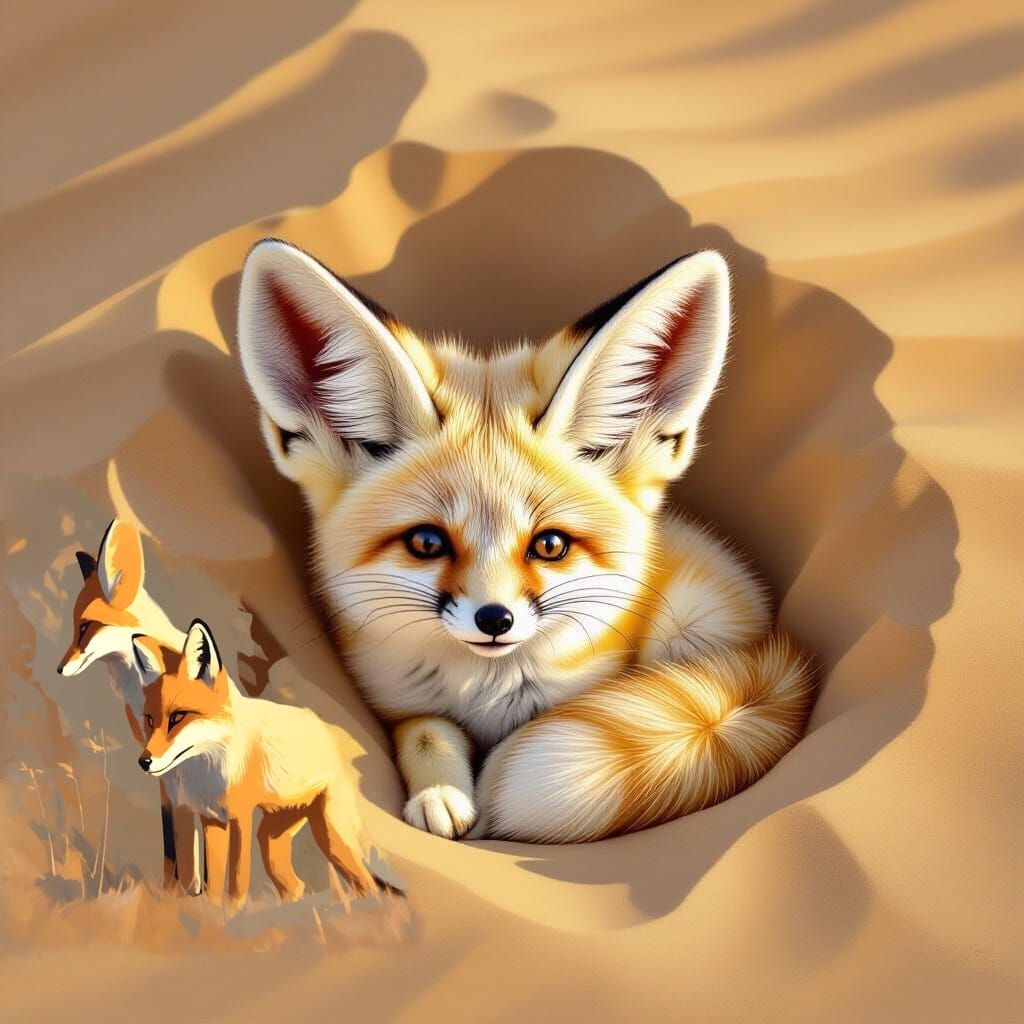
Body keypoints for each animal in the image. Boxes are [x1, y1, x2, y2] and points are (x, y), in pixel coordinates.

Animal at [57, 517, 203, 891]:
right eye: (74, 627)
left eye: (85, 627)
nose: (59, 670)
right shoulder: (159, 769)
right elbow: (170, 840)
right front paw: (171, 890)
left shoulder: (177, 767)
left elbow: (186, 839)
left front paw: (191, 892)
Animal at [132, 619, 383, 910]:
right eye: (150, 720)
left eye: (178, 717)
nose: (144, 762)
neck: (208, 772)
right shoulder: (211, 819)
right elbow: (213, 882)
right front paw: (211, 914)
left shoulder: (240, 817)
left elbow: (237, 880)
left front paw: (232, 914)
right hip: (271, 838)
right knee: (295, 886)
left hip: (331, 835)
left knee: (367, 884)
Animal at [236, 238, 816, 844]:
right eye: (427, 543)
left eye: (550, 546)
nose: (495, 619)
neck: (488, 694)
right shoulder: (398, 702)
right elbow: (426, 732)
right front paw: (441, 793)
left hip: (690, 620)